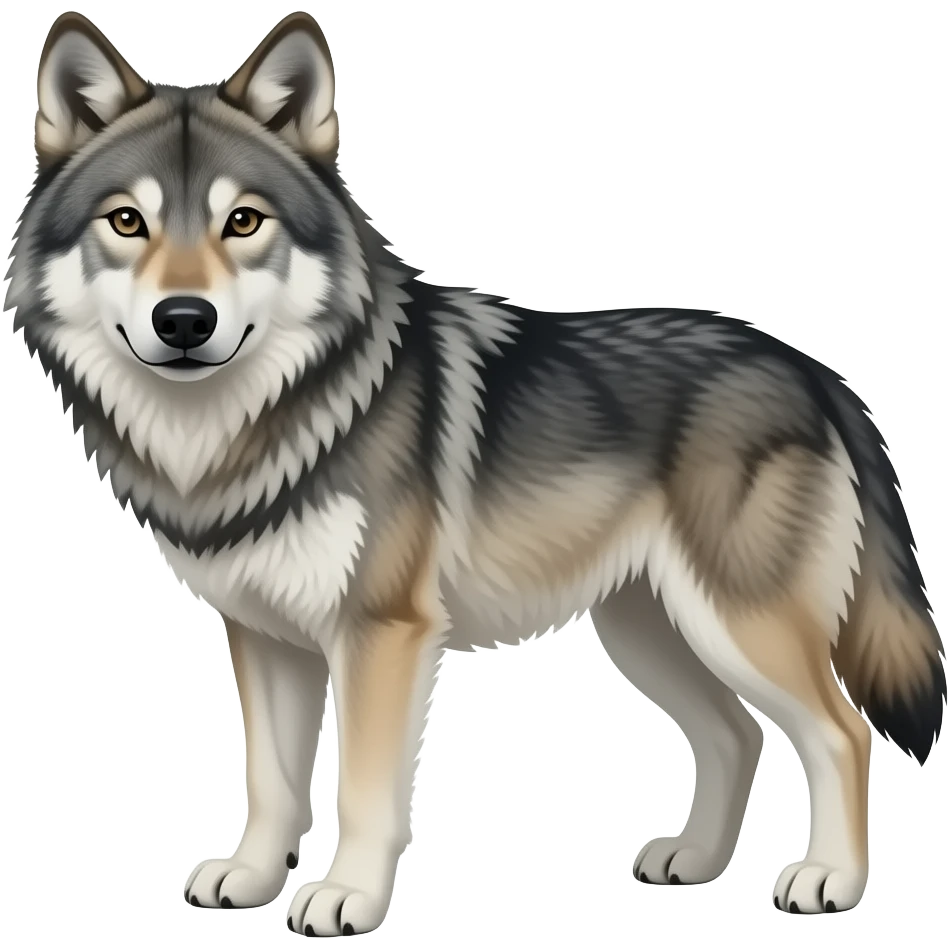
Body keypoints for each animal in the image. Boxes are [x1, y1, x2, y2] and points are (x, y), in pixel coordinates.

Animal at [5, 9, 944, 936]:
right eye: (127, 223)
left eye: (243, 222)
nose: (184, 320)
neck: (247, 427)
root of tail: (814, 372)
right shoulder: (265, 636)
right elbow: (271, 782)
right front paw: (250, 878)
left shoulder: (381, 633)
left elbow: (364, 790)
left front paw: (345, 898)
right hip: (650, 630)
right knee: (735, 736)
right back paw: (694, 863)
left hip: (737, 625)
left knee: (840, 732)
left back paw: (828, 880)